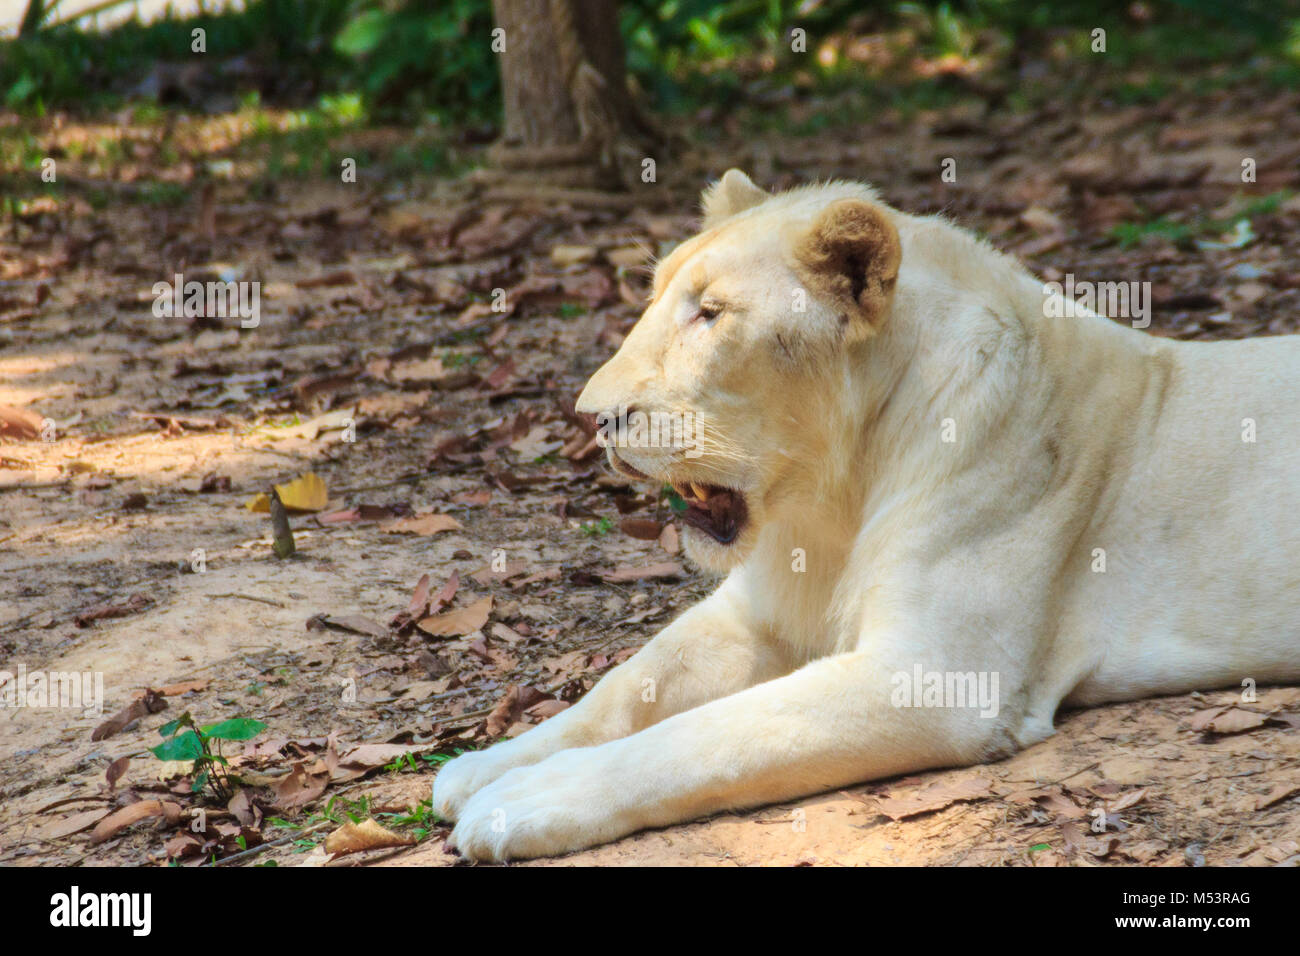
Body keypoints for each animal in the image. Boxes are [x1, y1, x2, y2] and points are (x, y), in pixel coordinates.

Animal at [433, 170, 1300, 861]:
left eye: (710, 313)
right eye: (654, 299)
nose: (592, 417)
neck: (833, 495)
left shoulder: (934, 677)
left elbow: (704, 736)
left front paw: (526, 801)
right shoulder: (758, 615)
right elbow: (624, 686)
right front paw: (484, 766)